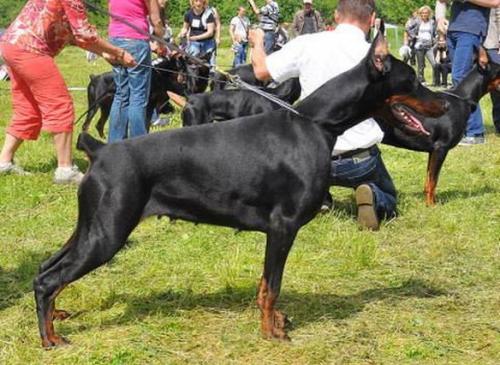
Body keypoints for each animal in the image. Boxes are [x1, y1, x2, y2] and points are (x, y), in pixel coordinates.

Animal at [33, 34, 446, 346]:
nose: (444, 102)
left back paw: (57, 316)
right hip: (108, 232)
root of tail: (100, 150)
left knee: (44, 271)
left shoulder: (278, 231)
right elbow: (272, 285)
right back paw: (50, 339)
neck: (316, 125)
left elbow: (266, 284)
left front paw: (275, 323)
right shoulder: (283, 227)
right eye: (412, 79)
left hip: (91, 226)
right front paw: (271, 332)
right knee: (50, 279)